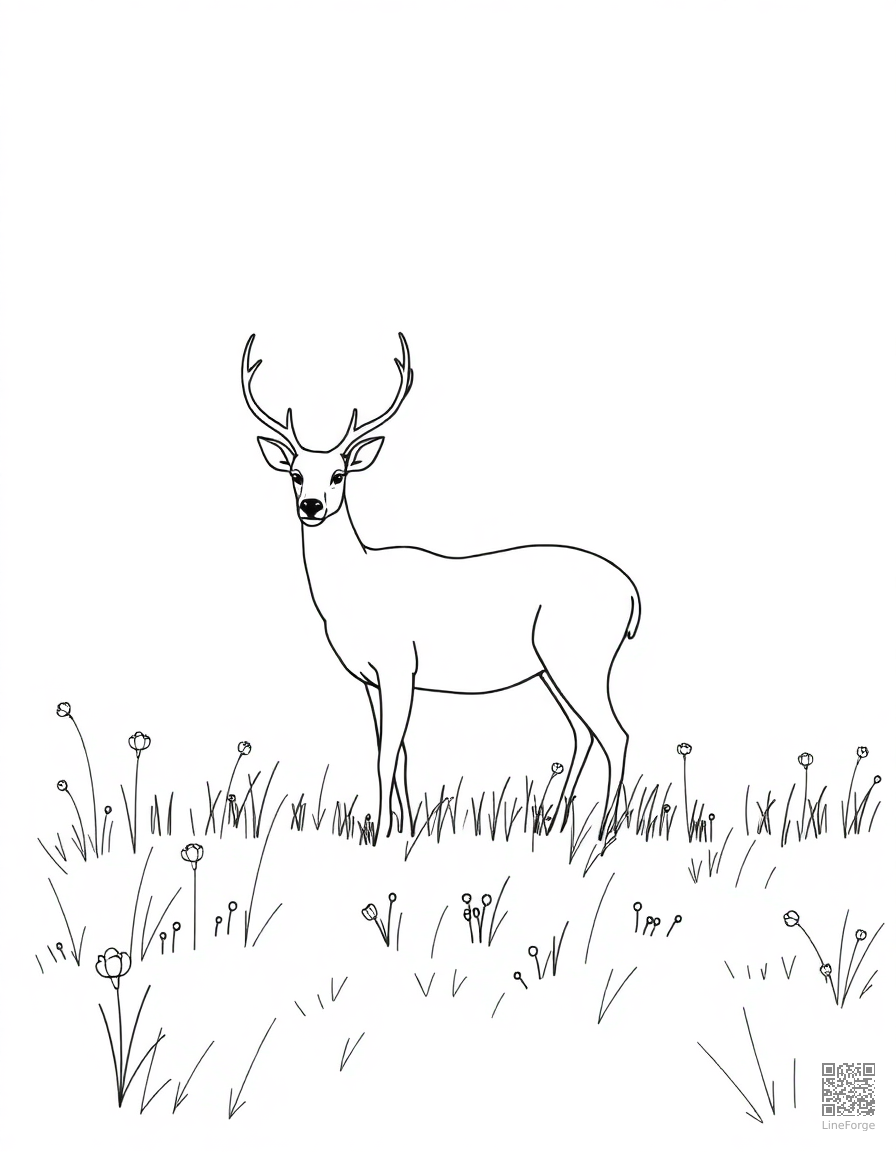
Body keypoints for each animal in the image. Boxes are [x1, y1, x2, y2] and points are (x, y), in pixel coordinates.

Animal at [241, 332, 640, 844]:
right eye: (295, 473)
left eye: (338, 474)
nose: (311, 505)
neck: (354, 590)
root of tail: (632, 594)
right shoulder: (372, 678)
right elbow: (399, 753)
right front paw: (406, 827)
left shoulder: (398, 665)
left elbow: (385, 755)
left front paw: (379, 834)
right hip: (552, 668)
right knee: (583, 733)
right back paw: (553, 823)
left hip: (581, 656)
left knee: (615, 734)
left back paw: (604, 833)